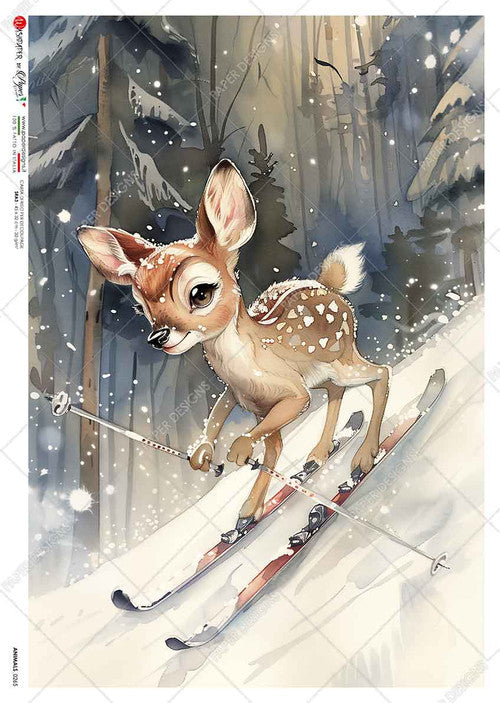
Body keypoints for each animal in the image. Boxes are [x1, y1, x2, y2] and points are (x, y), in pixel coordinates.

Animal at [78, 159, 390, 542]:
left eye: (200, 293)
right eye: (141, 307)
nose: (158, 336)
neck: (249, 362)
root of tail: (330, 287)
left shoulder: (292, 394)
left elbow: (277, 427)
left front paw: (239, 452)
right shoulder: (242, 399)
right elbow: (238, 430)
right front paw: (213, 471)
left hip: (342, 359)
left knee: (380, 374)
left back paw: (364, 457)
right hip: (322, 375)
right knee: (333, 396)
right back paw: (316, 457)